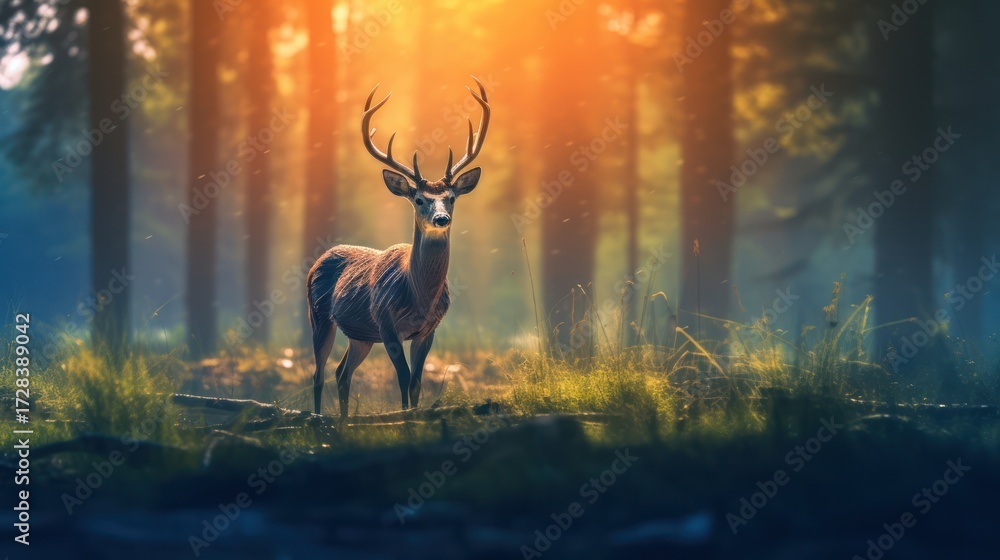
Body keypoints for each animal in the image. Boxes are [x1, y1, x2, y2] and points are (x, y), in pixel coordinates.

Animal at [306, 77, 491, 417]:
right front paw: (404, 419)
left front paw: (414, 418)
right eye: (418, 199)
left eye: (451, 198)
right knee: (318, 374)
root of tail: (318, 260)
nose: (442, 218)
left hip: (361, 336)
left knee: (341, 373)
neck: (419, 297)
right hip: (320, 315)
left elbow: (416, 383)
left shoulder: (429, 330)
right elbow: (403, 379)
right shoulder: (387, 323)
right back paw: (318, 418)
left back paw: (343, 422)